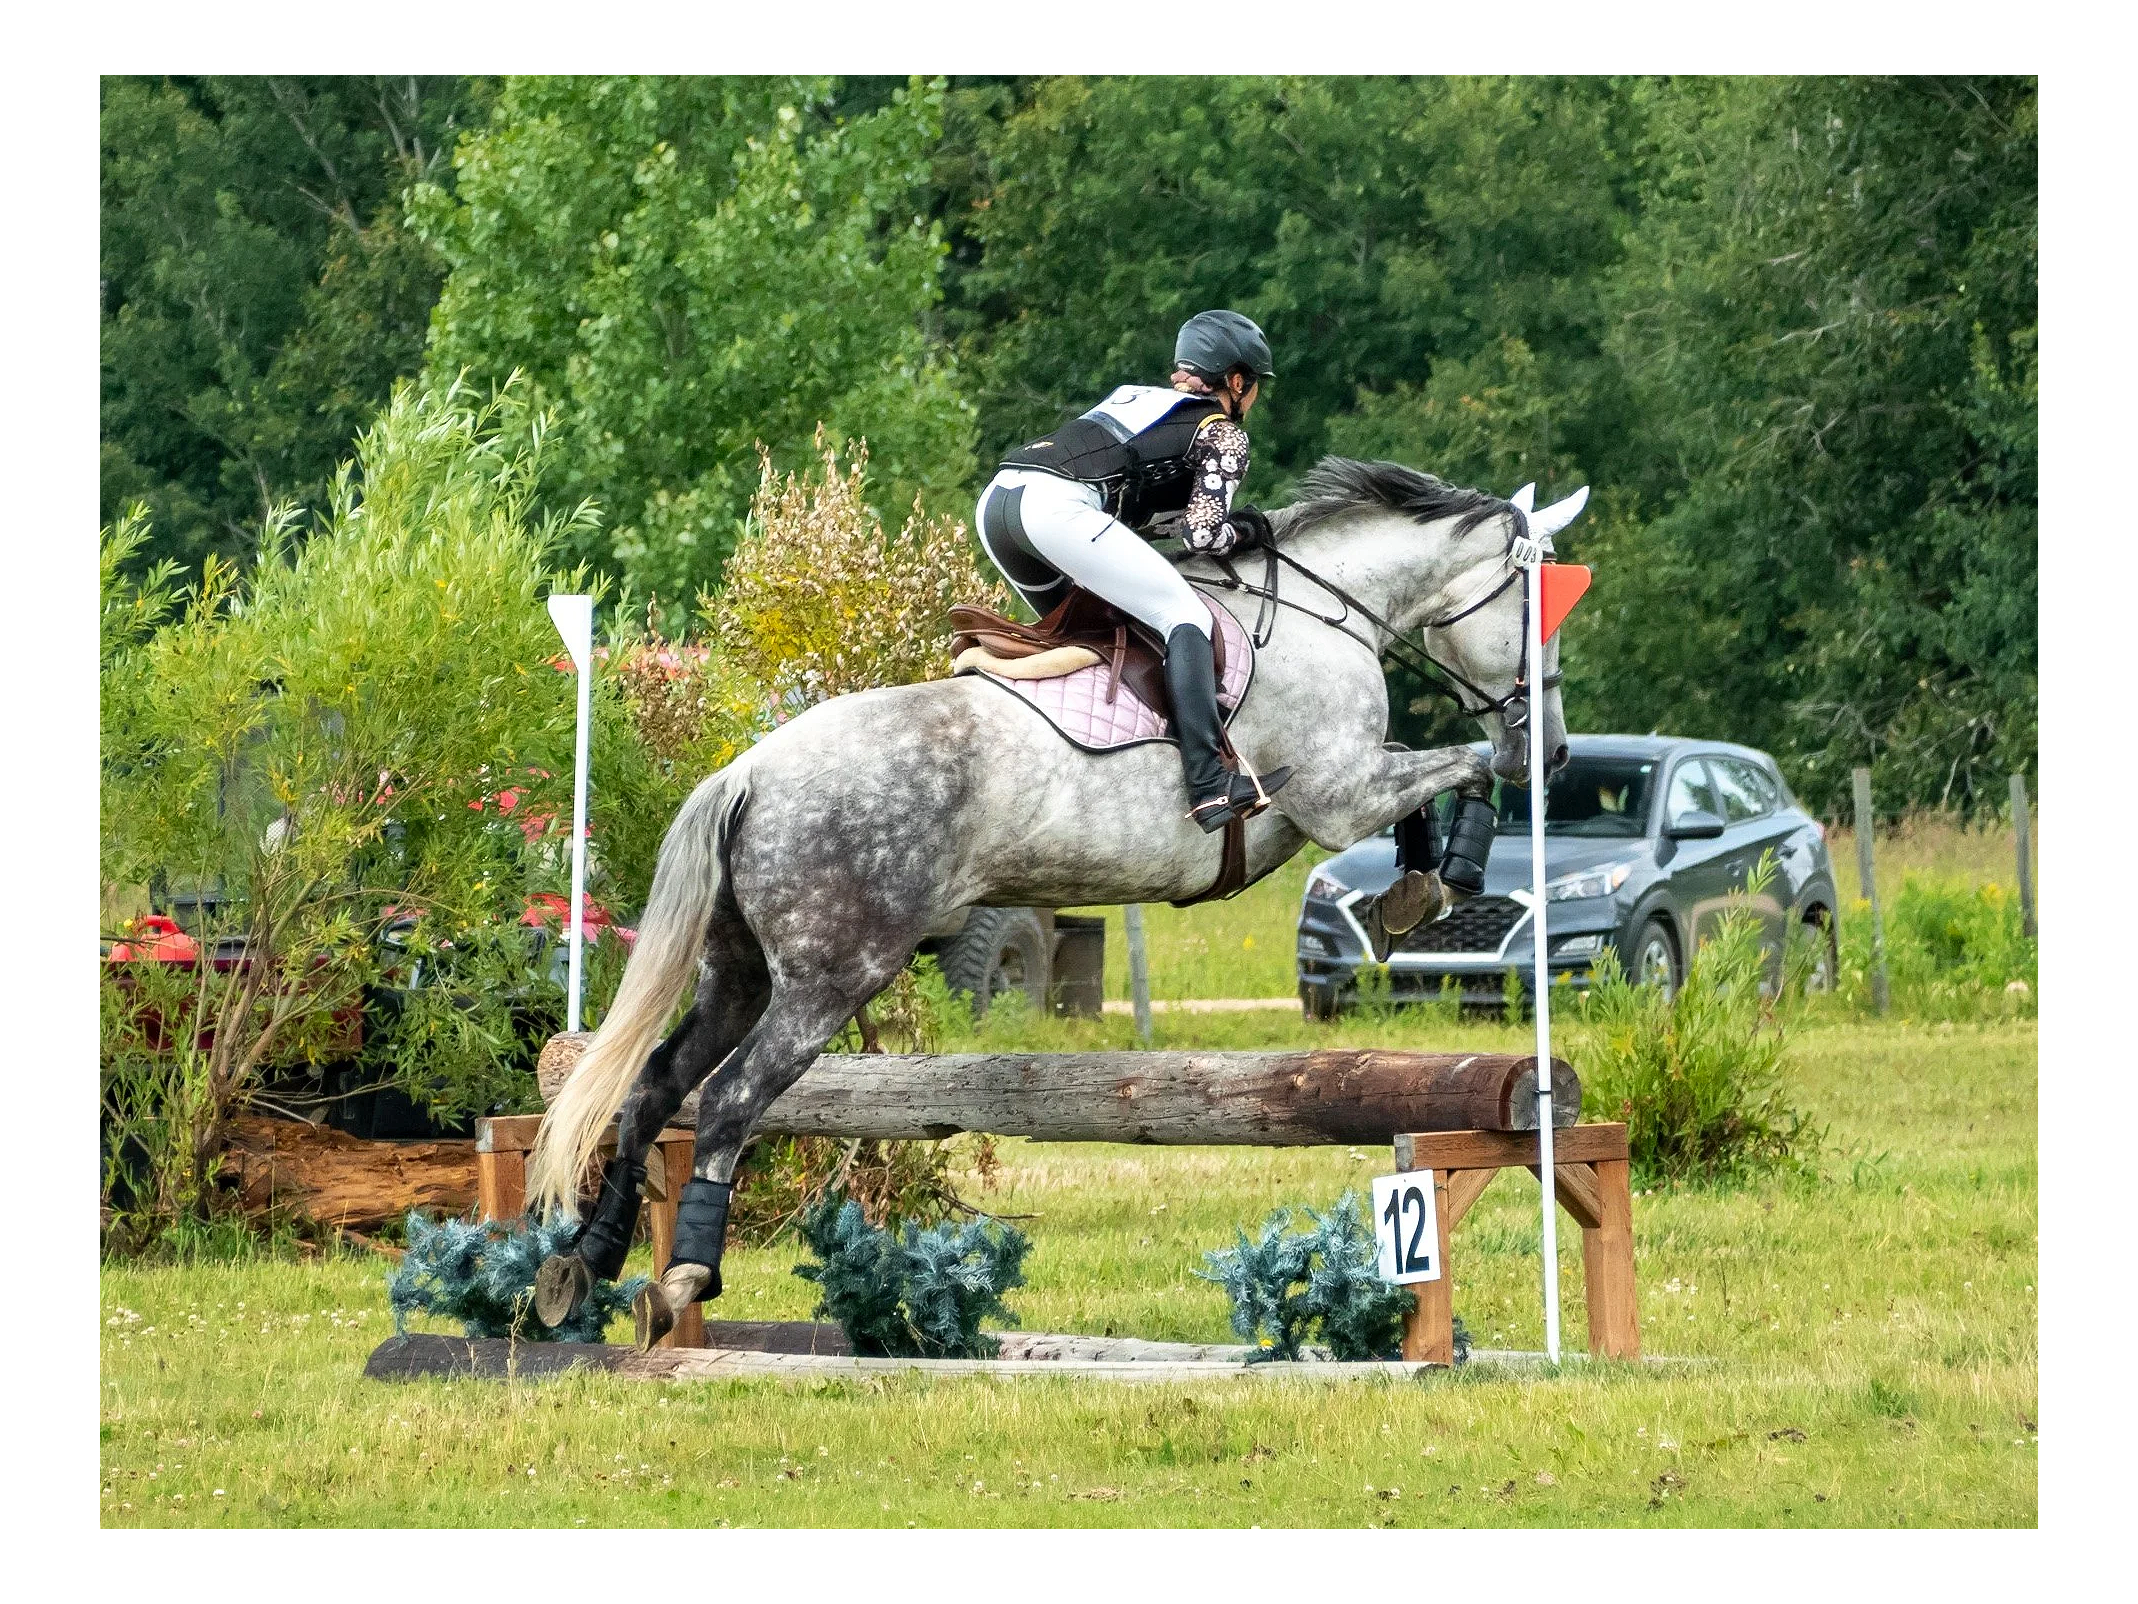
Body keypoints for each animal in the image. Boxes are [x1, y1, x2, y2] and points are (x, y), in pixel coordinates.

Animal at [529, 457, 1589, 1343]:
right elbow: (1457, 765)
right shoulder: (1334, 793)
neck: (1327, 613)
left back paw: (585, 1265)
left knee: (653, 1088)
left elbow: (1429, 783)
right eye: (1534, 605)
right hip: (829, 978)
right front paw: (1453, 862)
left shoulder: (1346, 790)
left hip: (740, 972)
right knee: (729, 1101)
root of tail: (746, 772)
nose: (1554, 749)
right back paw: (683, 1277)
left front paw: (1419, 881)